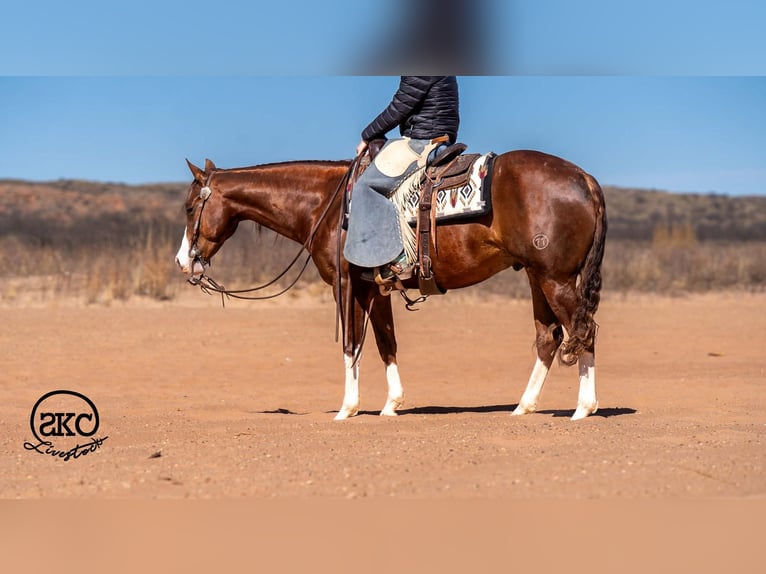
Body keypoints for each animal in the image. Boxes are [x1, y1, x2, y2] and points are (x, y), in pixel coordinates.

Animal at [175, 150, 607, 421]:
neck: (326, 206)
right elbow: (386, 343)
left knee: (583, 331)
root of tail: (585, 179)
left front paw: (346, 409)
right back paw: (523, 406)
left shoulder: (346, 285)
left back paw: (583, 409)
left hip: (555, 279)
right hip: (537, 277)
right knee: (550, 337)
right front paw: (391, 405)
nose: (183, 262)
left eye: (191, 207)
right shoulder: (374, 288)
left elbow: (351, 345)